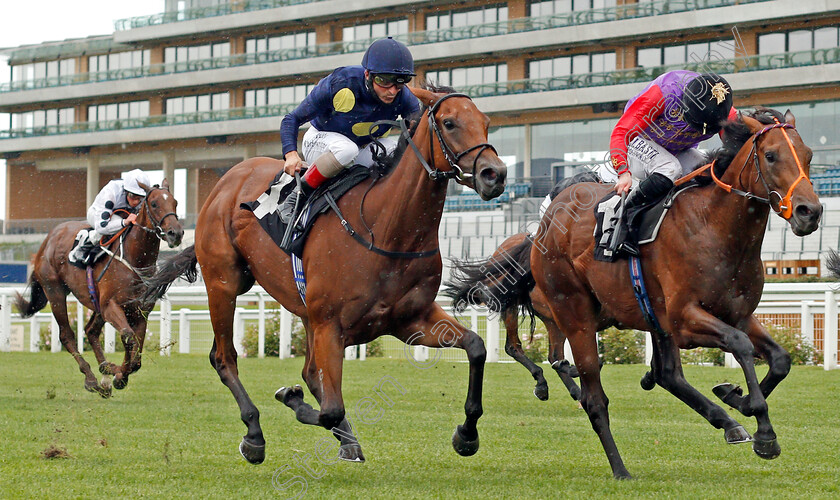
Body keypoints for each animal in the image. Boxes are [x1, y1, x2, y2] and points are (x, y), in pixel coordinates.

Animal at [14, 182, 183, 396]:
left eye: (175, 202)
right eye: (154, 203)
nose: (175, 233)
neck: (136, 259)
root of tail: (47, 240)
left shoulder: (140, 311)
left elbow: (136, 353)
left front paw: (116, 373)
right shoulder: (111, 306)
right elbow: (128, 338)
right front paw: (118, 374)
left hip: (95, 304)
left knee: (91, 330)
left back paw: (103, 370)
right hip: (55, 292)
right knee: (67, 335)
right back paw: (92, 378)